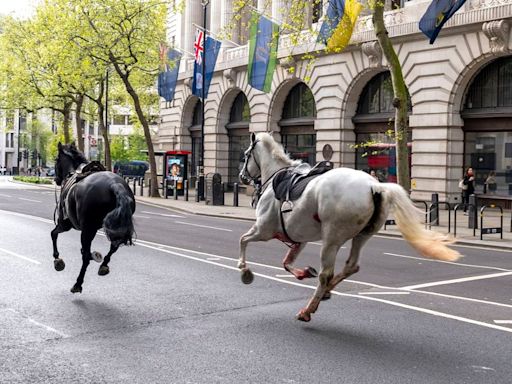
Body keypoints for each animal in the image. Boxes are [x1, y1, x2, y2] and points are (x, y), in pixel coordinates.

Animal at [52, 142, 136, 292]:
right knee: (114, 246)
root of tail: (114, 184)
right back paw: (103, 265)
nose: (56, 179)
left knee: (85, 258)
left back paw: (78, 283)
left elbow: (53, 234)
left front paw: (57, 259)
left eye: (56, 159)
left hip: (86, 229)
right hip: (114, 226)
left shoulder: (65, 224)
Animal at [239, 134, 460, 322]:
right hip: (362, 235)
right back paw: (326, 292)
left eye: (245, 155)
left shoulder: (263, 229)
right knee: (351, 266)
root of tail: (376, 186)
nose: (242, 177)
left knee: (326, 274)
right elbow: (286, 262)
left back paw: (308, 309)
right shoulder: (299, 238)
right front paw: (303, 272)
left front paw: (244, 270)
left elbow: (243, 240)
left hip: (331, 238)